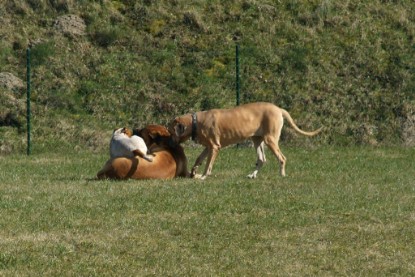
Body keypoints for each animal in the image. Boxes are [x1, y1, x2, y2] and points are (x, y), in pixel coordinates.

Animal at [167, 101, 324, 179]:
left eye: (171, 132)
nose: (169, 144)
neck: (195, 122)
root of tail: (279, 109)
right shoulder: (209, 147)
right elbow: (199, 159)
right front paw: (193, 172)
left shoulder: (215, 147)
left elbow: (208, 165)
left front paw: (204, 176)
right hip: (257, 140)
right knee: (262, 159)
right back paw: (252, 175)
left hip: (270, 140)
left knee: (282, 158)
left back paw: (282, 175)